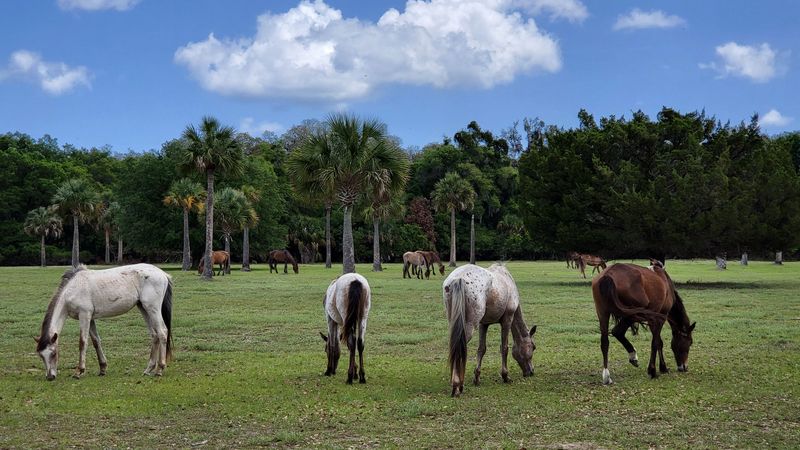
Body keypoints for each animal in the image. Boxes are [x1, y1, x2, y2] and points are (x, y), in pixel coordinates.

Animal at [35, 264, 173, 380]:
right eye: (41, 355)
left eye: (53, 353)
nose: (50, 377)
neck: (72, 289)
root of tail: (163, 274)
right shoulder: (90, 318)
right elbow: (96, 341)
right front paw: (102, 368)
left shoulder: (84, 315)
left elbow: (82, 342)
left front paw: (79, 371)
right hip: (144, 308)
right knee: (154, 335)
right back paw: (148, 369)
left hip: (152, 309)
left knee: (162, 332)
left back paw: (159, 369)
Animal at [443, 263, 537, 397]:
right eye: (533, 347)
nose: (531, 371)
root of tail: (458, 279)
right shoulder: (507, 320)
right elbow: (504, 348)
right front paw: (505, 376)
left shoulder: (484, 324)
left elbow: (481, 349)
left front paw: (477, 378)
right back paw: (457, 385)